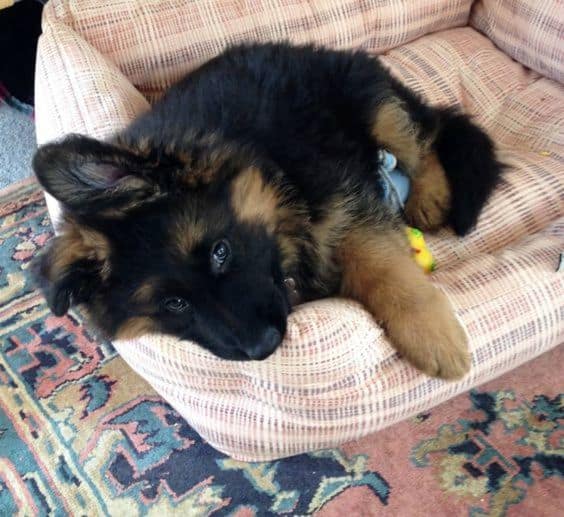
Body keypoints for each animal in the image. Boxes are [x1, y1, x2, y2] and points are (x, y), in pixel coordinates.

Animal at [33, 42, 502, 376]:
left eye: (221, 251)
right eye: (174, 304)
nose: (264, 347)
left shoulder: (346, 203)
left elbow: (381, 267)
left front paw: (429, 334)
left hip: (374, 105)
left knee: (427, 133)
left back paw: (429, 195)